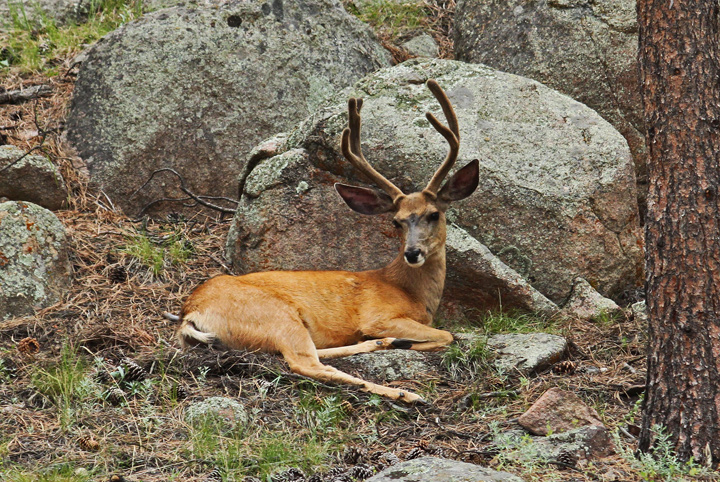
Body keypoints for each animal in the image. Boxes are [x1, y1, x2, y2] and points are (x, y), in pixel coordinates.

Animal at [172, 79, 479, 403]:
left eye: (434, 214)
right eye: (397, 221)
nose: (412, 252)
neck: (412, 293)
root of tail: (190, 312)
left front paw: (396, 342)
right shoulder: (379, 316)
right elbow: (447, 335)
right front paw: (405, 347)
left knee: (316, 354)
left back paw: (386, 344)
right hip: (276, 316)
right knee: (306, 363)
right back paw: (404, 392)